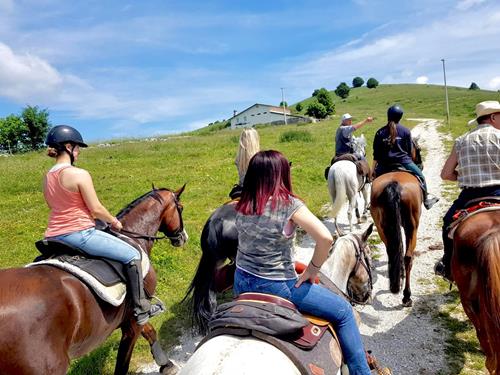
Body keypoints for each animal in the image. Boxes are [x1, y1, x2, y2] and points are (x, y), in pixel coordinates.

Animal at [0, 187, 188, 375]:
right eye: (181, 207)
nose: (183, 237)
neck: (133, 237)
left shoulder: (130, 316)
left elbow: (150, 332)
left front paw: (166, 364)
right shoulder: (134, 320)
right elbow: (124, 362)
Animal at [370, 140, 424, 306]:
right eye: (418, 149)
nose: (420, 164)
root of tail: (394, 184)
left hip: (381, 227)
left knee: (391, 251)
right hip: (412, 227)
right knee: (408, 257)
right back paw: (407, 295)